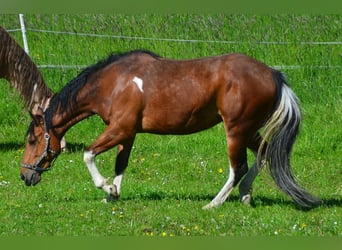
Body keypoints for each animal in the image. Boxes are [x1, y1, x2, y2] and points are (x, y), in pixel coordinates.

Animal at [20, 48, 320, 209]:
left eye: (32, 141)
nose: (25, 176)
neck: (113, 83)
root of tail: (273, 74)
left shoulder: (119, 130)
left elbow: (88, 155)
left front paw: (105, 187)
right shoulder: (127, 134)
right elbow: (120, 164)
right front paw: (113, 194)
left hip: (235, 130)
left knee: (239, 168)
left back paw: (213, 203)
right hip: (248, 130)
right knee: (264, 153)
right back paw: (246, 195)